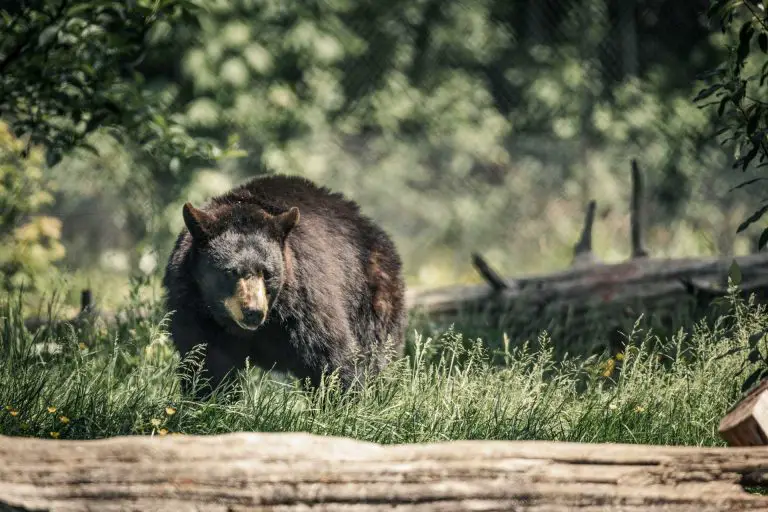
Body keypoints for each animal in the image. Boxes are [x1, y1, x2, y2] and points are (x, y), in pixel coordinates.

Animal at [162, 174, 407, 398]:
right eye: (230, 272)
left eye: (267, 273)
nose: (253, 312)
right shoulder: (194, 307)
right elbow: (206, 362)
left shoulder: (303, 303)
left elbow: (331, 356)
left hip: (371, 295)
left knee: (376, 352)